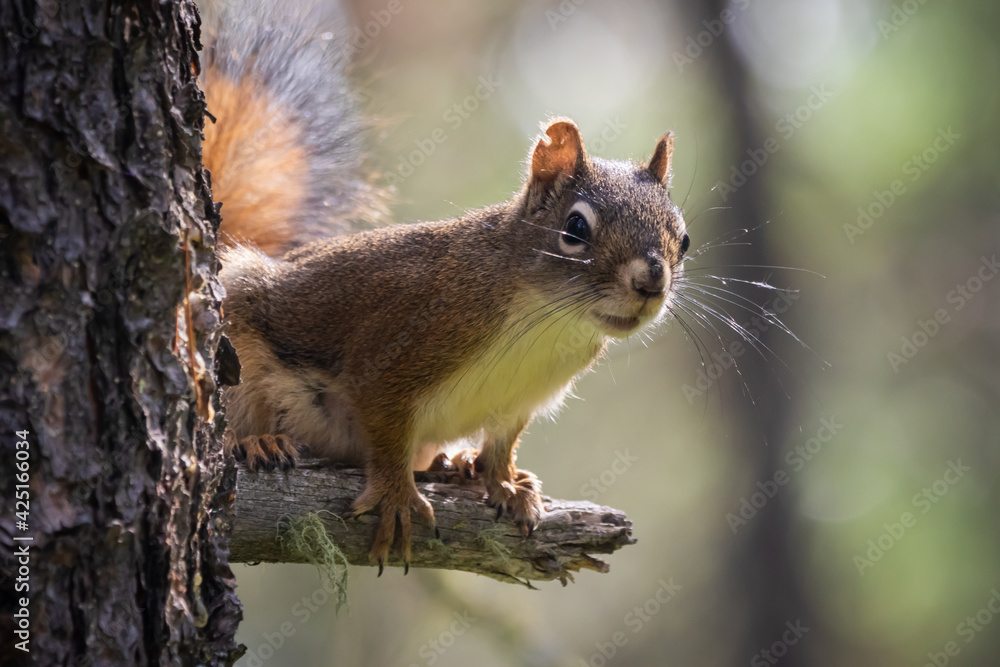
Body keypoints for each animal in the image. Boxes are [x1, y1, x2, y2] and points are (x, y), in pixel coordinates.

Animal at [198, 0, 690, 573]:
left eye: (684, 239)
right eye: (575, 229)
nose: (651, 280)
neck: (547, 322)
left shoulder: (516, 401)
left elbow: (503, 442)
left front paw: (503, 481)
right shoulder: (397, 348)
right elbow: (387, 431)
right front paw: (396, 495)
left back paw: (453, 463)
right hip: (241, 342)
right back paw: (257, 441)